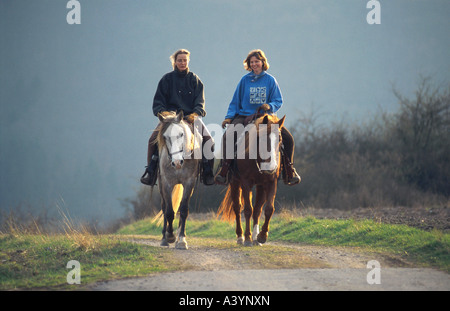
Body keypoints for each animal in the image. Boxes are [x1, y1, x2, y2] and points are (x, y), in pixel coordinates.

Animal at [217, 113, 284, 247]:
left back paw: (255, 238)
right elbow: (248, 209)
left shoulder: (270, 182)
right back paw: (240, 237)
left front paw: (262, 236)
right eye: (262, 139)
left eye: (279, 139)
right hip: (235, 182)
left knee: (258, 209)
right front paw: (247, 238)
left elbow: (268, 208)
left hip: (260, 186)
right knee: (237, 207)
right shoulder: (246, 182)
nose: (271, 167)